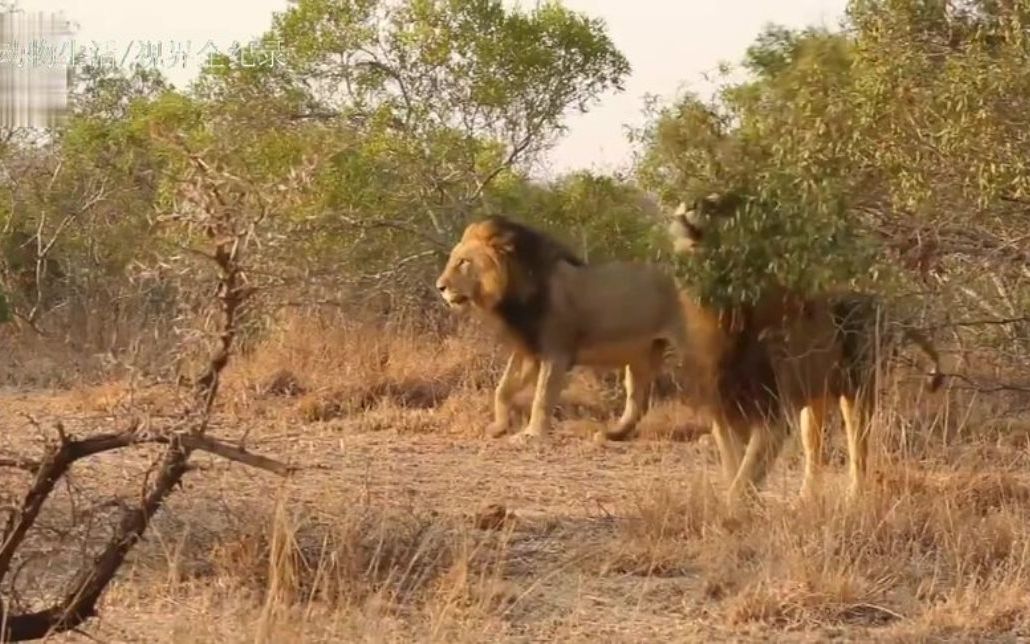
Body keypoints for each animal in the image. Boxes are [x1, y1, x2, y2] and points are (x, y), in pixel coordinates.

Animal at [432, 214, 683, 441]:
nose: (440, 287)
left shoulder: (556, 352)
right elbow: (502, 390)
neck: (513, 294)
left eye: (464, 262)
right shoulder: (529, 350)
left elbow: (542, 397)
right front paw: (499, 427)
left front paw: (531, 435)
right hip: (639, 359)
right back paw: (615, 433)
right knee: (637, 401)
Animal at [663, 193, 943, 504]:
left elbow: (743, 479)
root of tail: (880, 301)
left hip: (860, 387)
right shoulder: (724, 409)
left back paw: (854, 498)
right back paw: (806, 497)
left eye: (721, 204)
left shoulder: (774, 416)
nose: (691, 203)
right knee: (814, 445)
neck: (719, 310)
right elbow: (734, 468)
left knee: (859, 446)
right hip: (814, 395)